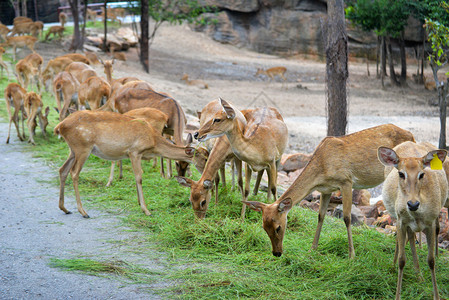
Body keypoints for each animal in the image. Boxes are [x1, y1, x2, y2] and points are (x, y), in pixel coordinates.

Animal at [53, 110, 198, 218]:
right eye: (200, 154)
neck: (153, 142)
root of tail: (60, 126)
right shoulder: (134, 151)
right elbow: (139, 176)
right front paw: (146, 209)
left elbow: (136, 176)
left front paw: (139, 203)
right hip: (82, 147)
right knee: (74, 172)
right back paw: (83, 212)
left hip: (73, 150)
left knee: (62, 169)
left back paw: (64, 208)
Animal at [243, 123, 414, 258]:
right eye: (264, 227)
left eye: (278, 227)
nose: (277, 253)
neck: (323, 167)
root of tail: (412, 136)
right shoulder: (326, 189)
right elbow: (320, 216)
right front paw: (312, 249)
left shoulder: (346, 181)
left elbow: (347, 218)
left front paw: (352, 255)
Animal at [376, 141, 446, 300]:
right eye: (401, 174)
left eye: (422, 174)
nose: (412, 204)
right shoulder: (402, 221)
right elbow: (402, 260)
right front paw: (397, 295)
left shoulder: (431, 222)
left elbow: (431, 260)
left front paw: (436, 295)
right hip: (397, 217)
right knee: (404, 240)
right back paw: (395, 266)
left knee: (413, 237)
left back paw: (418, 275)